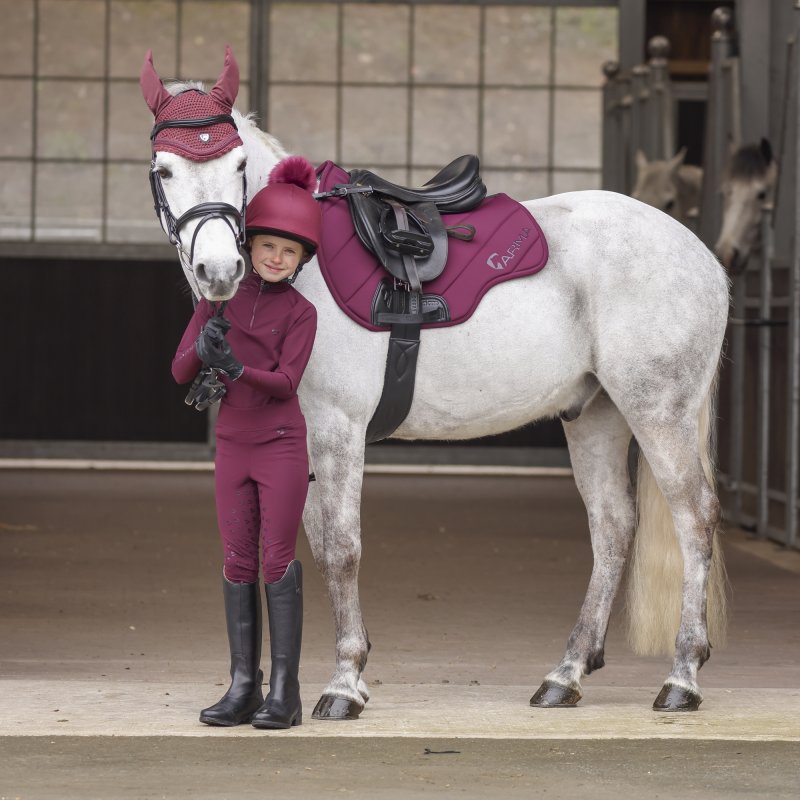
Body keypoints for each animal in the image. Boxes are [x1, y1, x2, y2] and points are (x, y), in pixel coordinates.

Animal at [148, 78, 732, 716]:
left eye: (238, 165)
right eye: (164, 169)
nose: (219, 269)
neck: (300, 274)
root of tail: (701, 256)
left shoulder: (337, 430)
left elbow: (342, 548)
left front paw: (344, 683)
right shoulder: (298, 442)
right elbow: (307, 548)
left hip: (658, 411)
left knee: (693, 518)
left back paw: (682, 677)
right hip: (595, 416)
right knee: (612, 526)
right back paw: (567, 673)